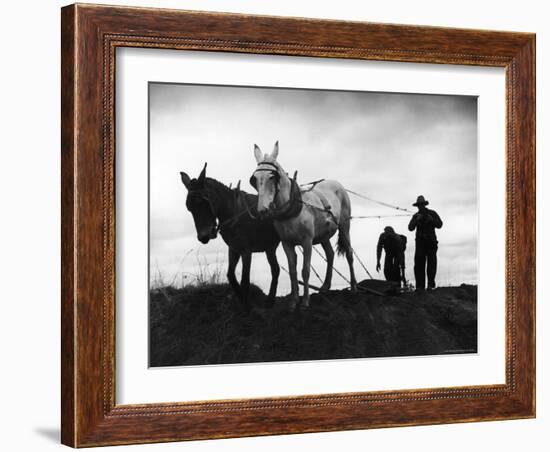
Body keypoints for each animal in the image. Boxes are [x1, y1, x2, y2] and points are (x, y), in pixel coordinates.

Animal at [250, 143, 358, 308]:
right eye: (255, 179)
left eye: (272, 177)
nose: (263, 210)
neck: (290, 210)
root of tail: (337, 184)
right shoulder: (286, 243)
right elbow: (293, 271)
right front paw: (294, 301)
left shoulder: (307, 241)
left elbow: (305, 270)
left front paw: (305, 301)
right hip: (323, 235)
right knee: (330, 254)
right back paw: (325, 286)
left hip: (345, 226)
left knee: (349, 253)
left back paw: (353, 287)